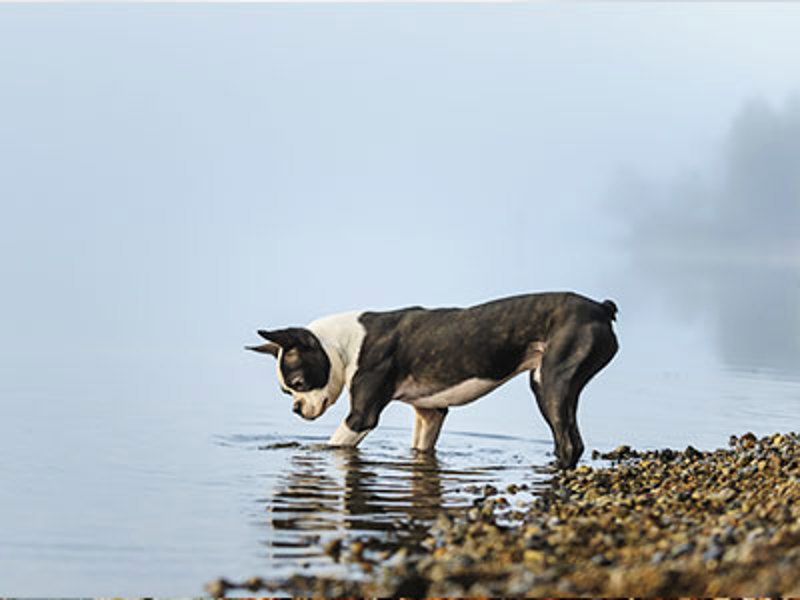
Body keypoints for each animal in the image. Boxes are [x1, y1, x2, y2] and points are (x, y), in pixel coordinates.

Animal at [248, 290, 620, 468]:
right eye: (286, 392)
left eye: (298, 384)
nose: (296, 409)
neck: (342, 344)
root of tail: (600, 308)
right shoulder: (430, 412)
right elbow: (421, 448)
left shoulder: (361, 416)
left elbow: (334, 444)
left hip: (550, 381)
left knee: (568, 441)